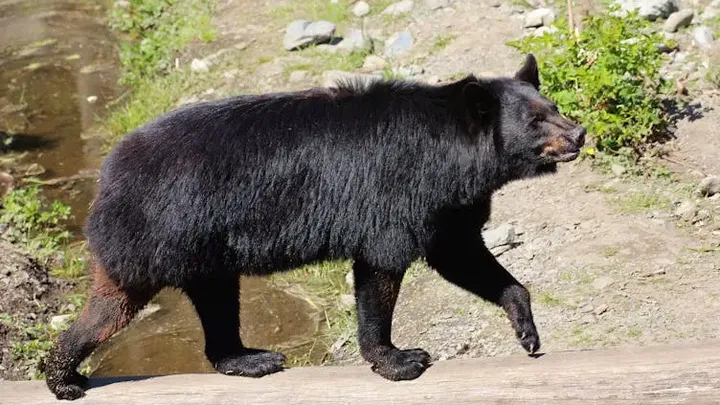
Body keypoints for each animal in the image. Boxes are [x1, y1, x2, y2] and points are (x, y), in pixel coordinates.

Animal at [44, 54, 585, 400]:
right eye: (536, 121)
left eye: (554, 107)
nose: (579, 133)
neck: (456, 157)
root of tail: (108, 173)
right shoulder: (400, 191)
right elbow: (381, 268)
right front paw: (399, 359)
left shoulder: (447, 206)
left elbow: (461, 255)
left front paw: (527, 330)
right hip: (160, 230)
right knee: (114, 305)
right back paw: (63, 376)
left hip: (202, 249)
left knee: (216, 299)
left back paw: (247, 358)